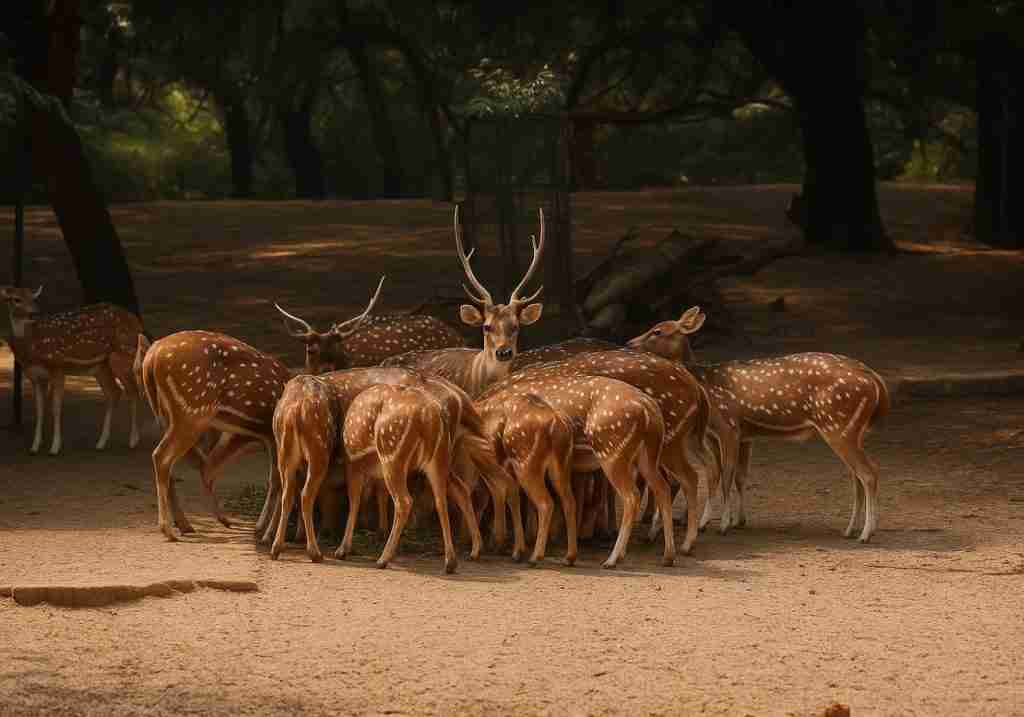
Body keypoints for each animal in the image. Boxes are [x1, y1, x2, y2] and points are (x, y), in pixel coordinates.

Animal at [2, 285, 144, 455]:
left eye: (33, 298)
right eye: (16, 299)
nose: (34, 313)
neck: (31, 348)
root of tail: (137, 323)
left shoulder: (58, 366)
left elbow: (56, 407)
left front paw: (54, 447)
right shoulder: (34, 376)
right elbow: (39, 411)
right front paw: (34, 447)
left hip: (123, 354)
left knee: (133, 392)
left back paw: (133, 441)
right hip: (100, 366)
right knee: (114, 393)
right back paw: (101, 443)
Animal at [626, 306, 889, 543]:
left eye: (658, 331)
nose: (629, 343)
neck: (706, 385)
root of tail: (876, 381)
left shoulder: (729, 426)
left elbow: (725, 474)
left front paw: (720, 524)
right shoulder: (738, 435)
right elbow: (736, 475)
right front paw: (737, 520)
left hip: (838, 425)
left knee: (869, 472)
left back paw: (866, 534)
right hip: (849, 429)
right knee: (856, 476)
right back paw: (850, 530)